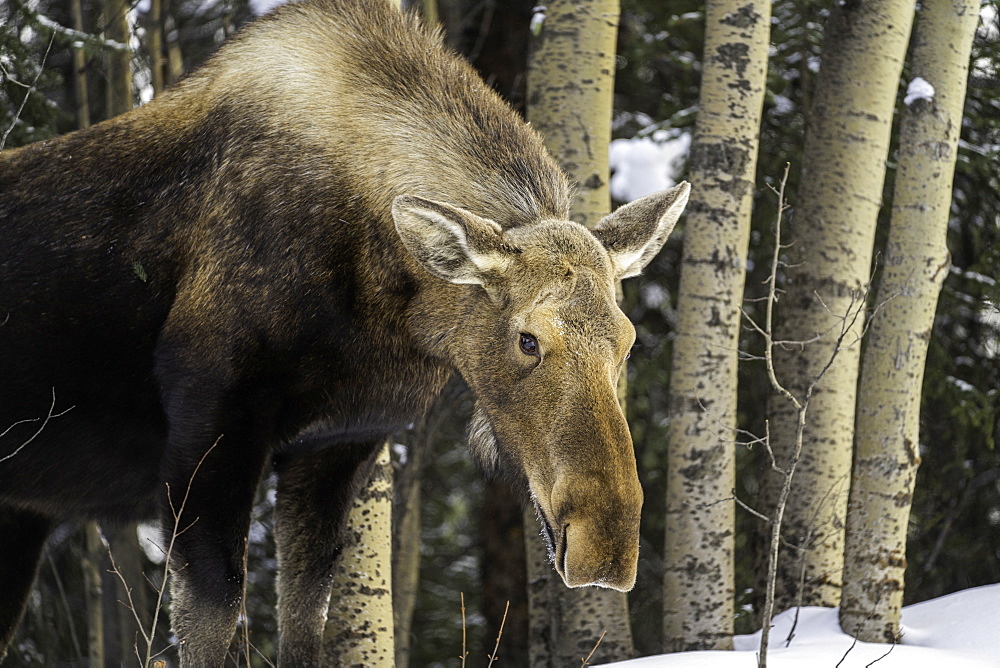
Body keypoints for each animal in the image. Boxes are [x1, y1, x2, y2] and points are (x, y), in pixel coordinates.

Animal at [0, 0, 688, 664]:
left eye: (627, 341)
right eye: (527, 339)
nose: (607, 548)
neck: (383, 314)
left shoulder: (338, 441)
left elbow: (307, 626)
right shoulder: (212, 421)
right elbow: (213, 622)